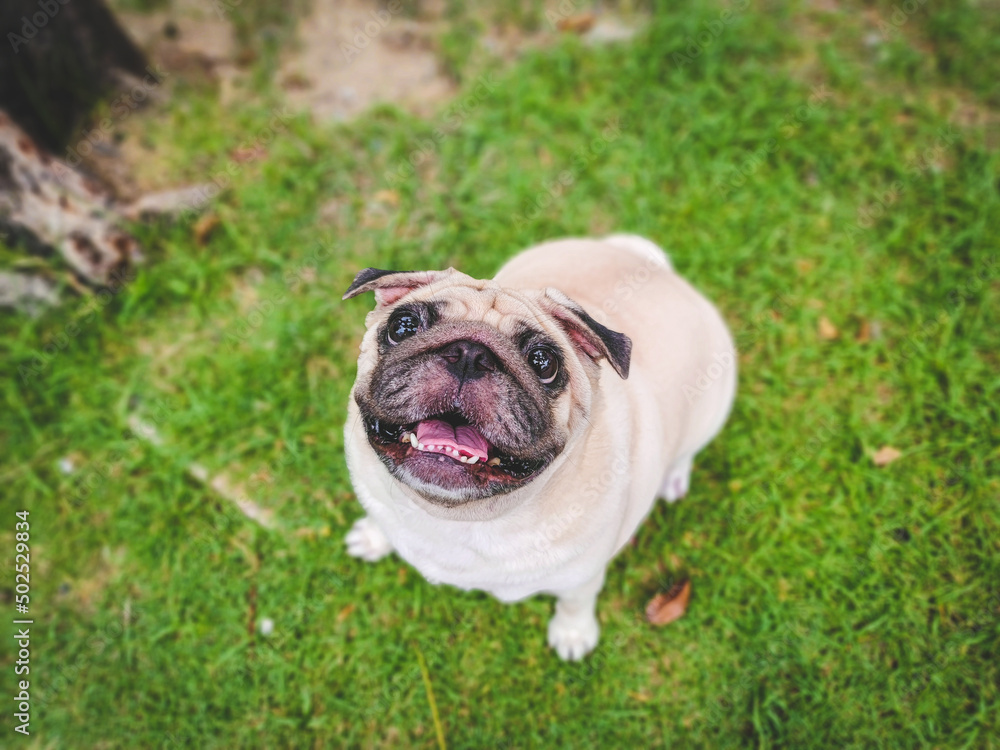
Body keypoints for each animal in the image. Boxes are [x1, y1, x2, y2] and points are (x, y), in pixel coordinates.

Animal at [344, 234, 736, 656]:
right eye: (403, 327)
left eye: (543, 363)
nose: (470, 353)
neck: (460, 517)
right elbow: (383, 517)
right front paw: (373, 536)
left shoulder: (582, 577)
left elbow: (575, 602)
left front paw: (573, 634)